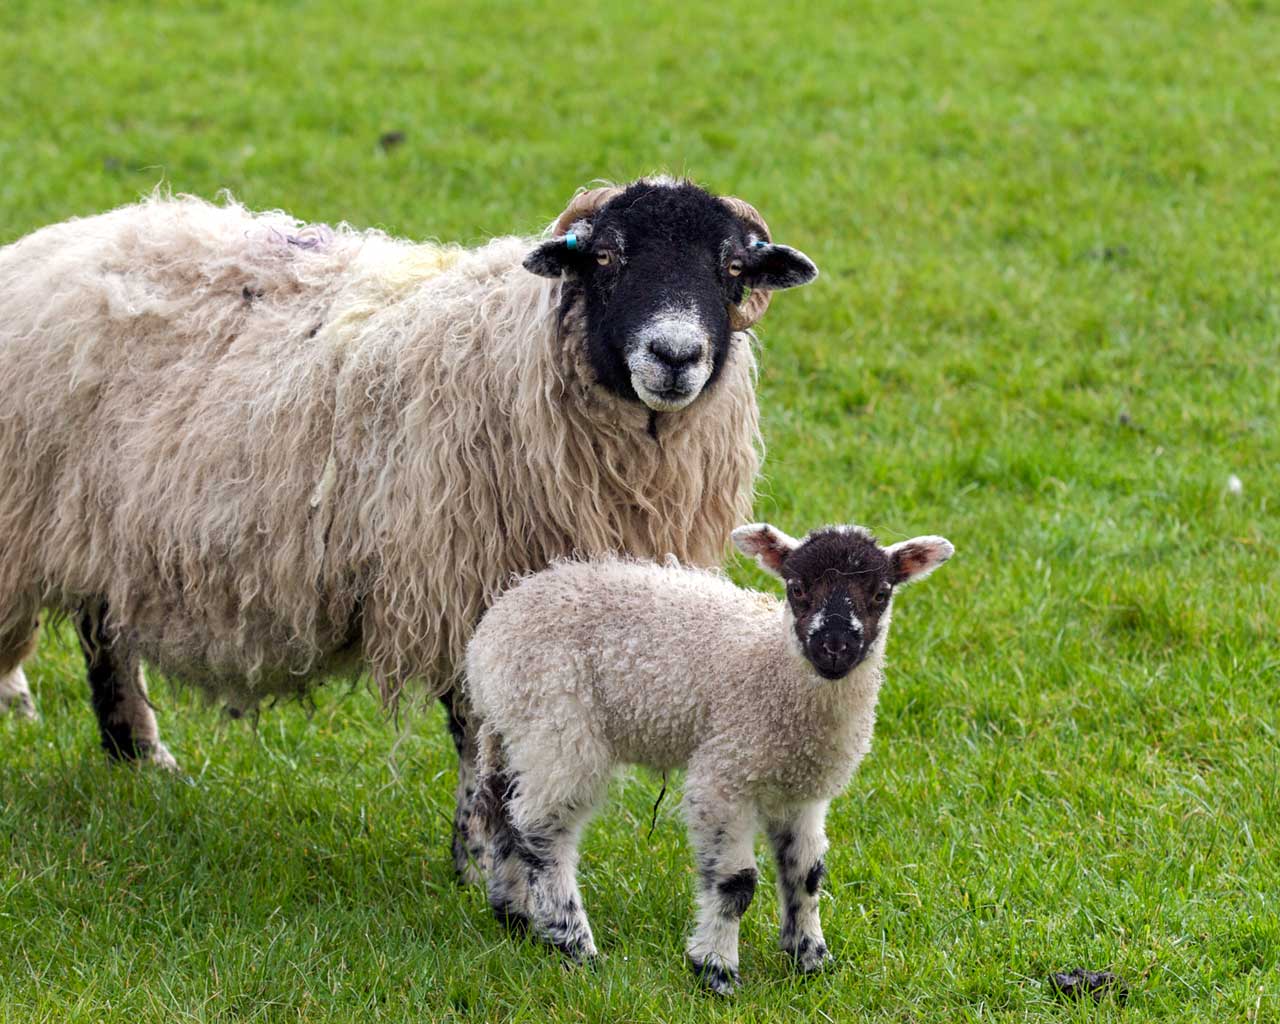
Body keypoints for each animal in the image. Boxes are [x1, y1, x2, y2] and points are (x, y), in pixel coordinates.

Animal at [0, 177, 819, 880]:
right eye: (608, 257)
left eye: (733, 266)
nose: (674, 355)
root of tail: (56, 241)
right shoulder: (468, 585)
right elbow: (478, 733)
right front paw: (481, 862)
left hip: (101, 525)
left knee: (102, 630)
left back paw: (138, 754)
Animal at [468, 519, 952, 993]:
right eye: (797, 588)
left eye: (881, 593)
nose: (834, 647)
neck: (775, 673)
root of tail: (491, 630)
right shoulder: (726, 773)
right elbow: (736, 883)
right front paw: (715, 970)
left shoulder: (801, 790)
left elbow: (807, 874)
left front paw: (811, 960)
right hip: (558, 726)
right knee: (542, 828)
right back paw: (574, 944)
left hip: (516, 732)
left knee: (503, 810)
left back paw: (515, 914)